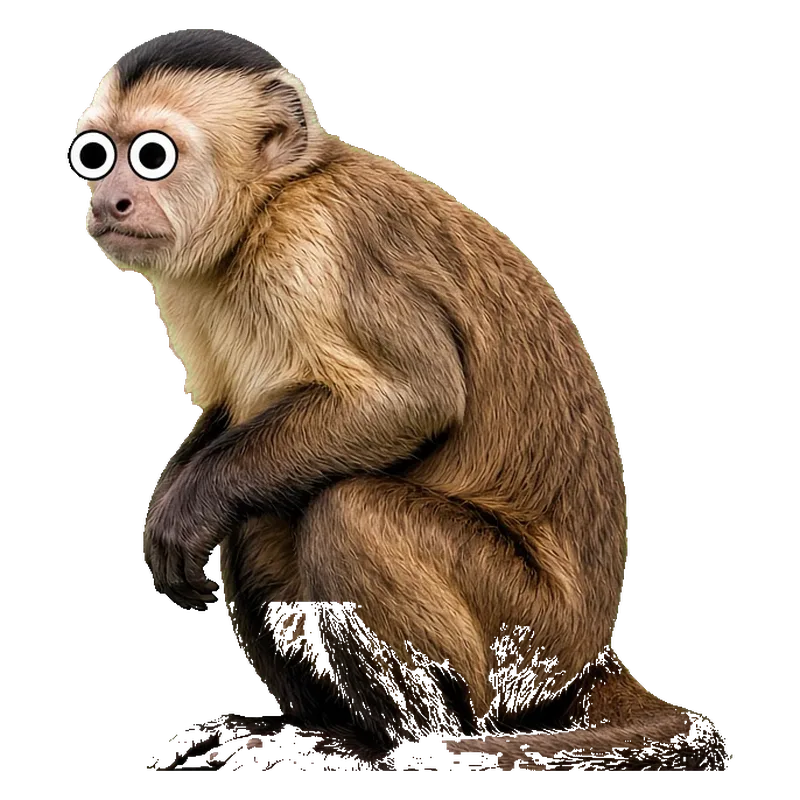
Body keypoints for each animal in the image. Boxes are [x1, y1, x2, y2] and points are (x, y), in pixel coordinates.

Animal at [71, 29, 727, 773]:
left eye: (153, 157)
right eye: (97, 155)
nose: (110, 202)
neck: (265, 208)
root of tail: (589, 652)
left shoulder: (314, 247)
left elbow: (415, 398)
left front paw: (185, 506)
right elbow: (229, 412)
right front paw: (169, 502)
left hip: (528, 643)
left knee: (349, 513)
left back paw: (400, 747)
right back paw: (291, 728)